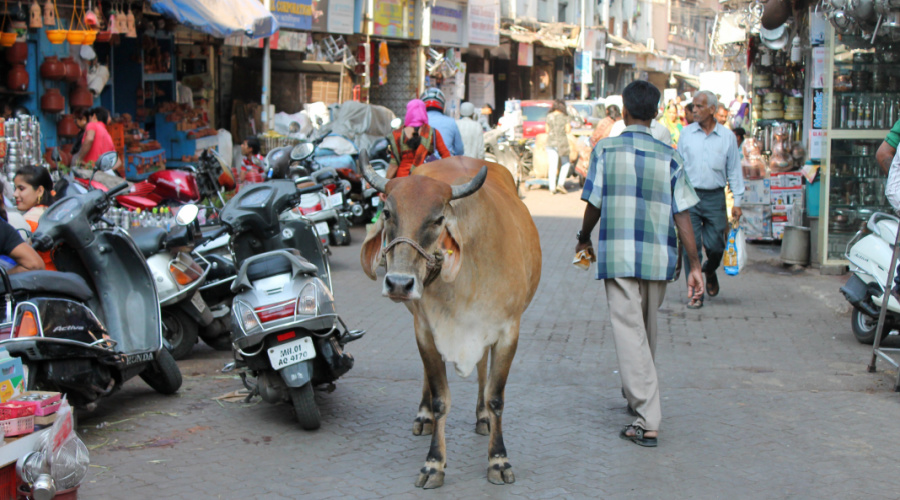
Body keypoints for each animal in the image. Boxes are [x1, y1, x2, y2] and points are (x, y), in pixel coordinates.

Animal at [360, 157, 540, 488]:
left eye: (438, 218)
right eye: (388, 213)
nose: (399, 283)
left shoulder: (508, 331)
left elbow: (496, 397)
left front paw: (498, 459)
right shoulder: (425, 332)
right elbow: (440, 398)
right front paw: (434, 464)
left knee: (482, 372)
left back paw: (482, 417)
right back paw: (424, 417)